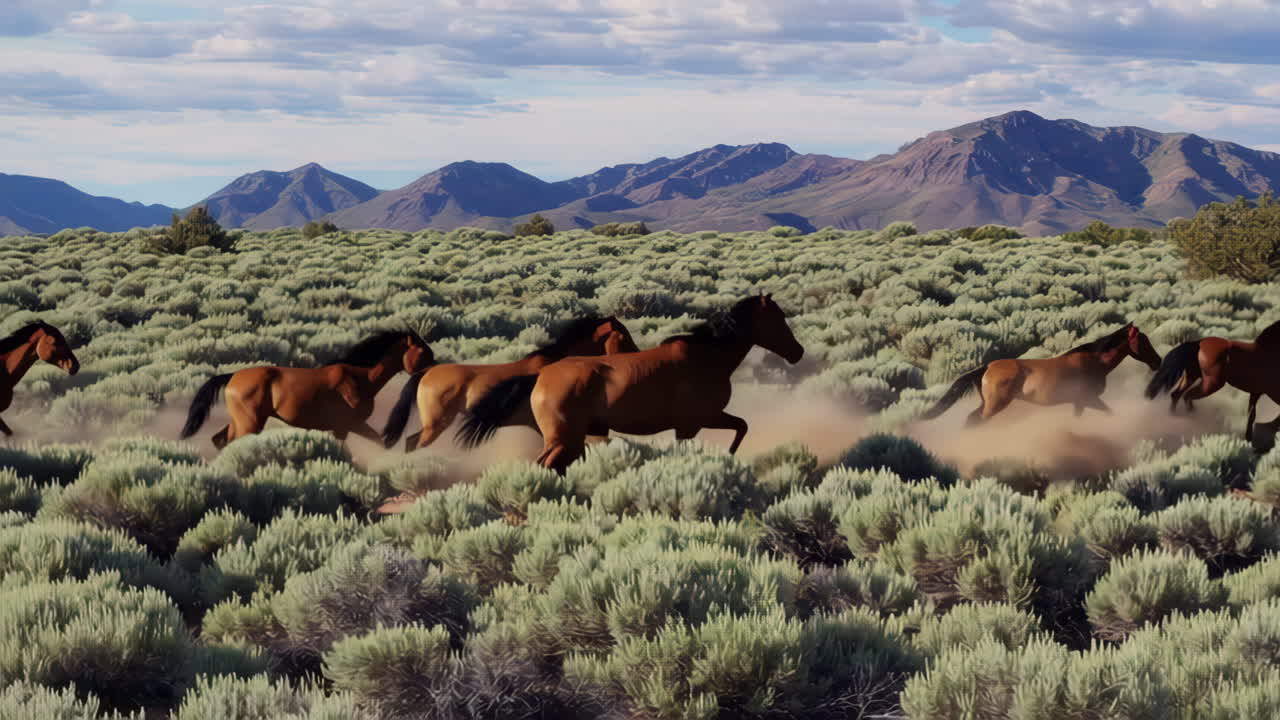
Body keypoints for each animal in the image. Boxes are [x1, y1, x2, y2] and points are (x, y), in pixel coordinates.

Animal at [181, 329, 433, 449]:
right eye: (422, 351)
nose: (433, 368)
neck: (360, 377)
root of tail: (232, 376)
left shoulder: (344, 428)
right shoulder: (349, 425)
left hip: (242, 421)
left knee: (220, 440)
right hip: (249, 424)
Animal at [456, 294, 805, 473]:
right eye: (776, 319)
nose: (797, 352)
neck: (708, 356)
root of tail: (541, 375)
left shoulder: (694, 424)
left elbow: (741, 427)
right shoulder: (698, 421)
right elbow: (740, 428)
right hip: (564, 440)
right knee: (545, 465)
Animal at [922, 323, 1162, 425]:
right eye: (1143, 341)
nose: (1158, 361)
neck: (1094, 361)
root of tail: (986, 368)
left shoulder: (1081, 403)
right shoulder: (1089, 399)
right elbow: (1109, 412)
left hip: (986, 405)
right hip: (993, 407)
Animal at [1144, 320, 1280, 443]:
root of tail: (1198, 343)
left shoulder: (1256, 392)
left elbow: (1251, 415)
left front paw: (1249, 439)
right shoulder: (1271, 392)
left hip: (1191, 377)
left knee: (1176, 395)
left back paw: (1174, 417)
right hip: (1212, 384)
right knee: (1187, 396)